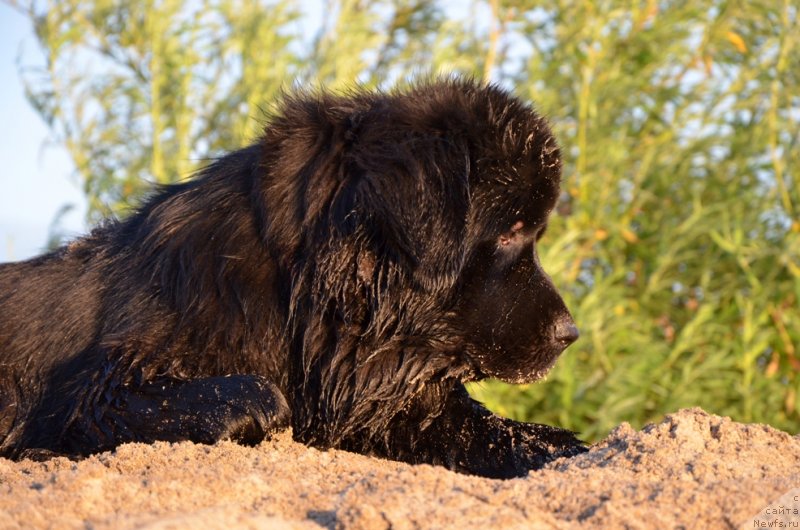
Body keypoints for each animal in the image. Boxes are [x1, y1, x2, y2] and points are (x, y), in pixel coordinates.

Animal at [0, 78, 588, 478]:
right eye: (511, 233)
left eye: (532, 232)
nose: (570, 334)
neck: (301, 297)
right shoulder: (98, 392)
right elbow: (259, 396)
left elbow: (490, 429)